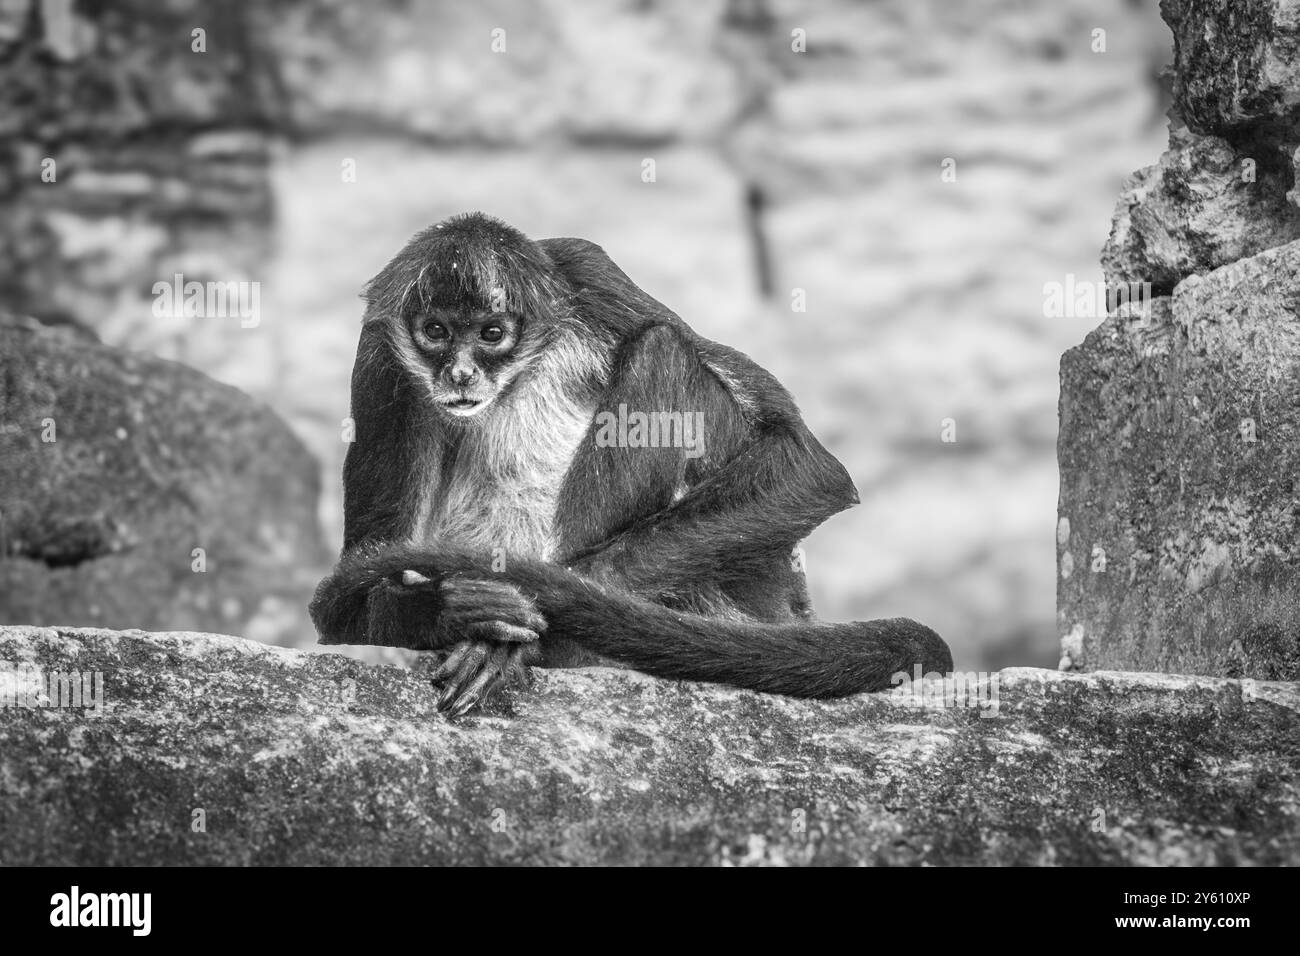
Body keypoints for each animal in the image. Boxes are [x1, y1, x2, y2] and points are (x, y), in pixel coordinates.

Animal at [309, 210, 951, 717]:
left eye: (491, 334)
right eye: (436, 332)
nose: (461, 373)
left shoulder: (586, 271)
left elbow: (809, 466)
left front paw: (532, 615)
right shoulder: (379, 352)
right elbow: (354, 592)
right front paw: (444, 610)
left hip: (751, 588)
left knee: (662, 348)